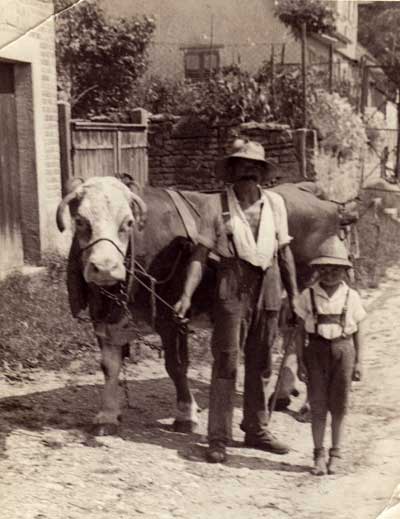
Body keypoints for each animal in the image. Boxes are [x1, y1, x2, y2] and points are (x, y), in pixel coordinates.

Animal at [55, 177, 356, 436]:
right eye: (80, 221)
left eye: (127, 222)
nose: (104, 267)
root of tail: (311, 193)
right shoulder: (103, 318)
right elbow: (109, 366)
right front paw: (106, 415)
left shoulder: (172, 316)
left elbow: (176, 366)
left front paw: (186, 415)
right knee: (292, 337)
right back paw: (282, 393)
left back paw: (308, 405)